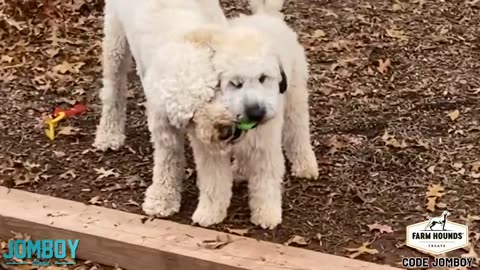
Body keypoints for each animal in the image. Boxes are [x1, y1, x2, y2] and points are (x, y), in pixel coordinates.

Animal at [94, 0, 318, 230]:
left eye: (212, 94)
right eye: (190, 119)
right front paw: (164, 199)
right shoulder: (168, 128)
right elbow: (169, 163)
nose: (225, 131)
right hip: (115, 42)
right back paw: (108, 134)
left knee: (297, 130)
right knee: (113, 90)